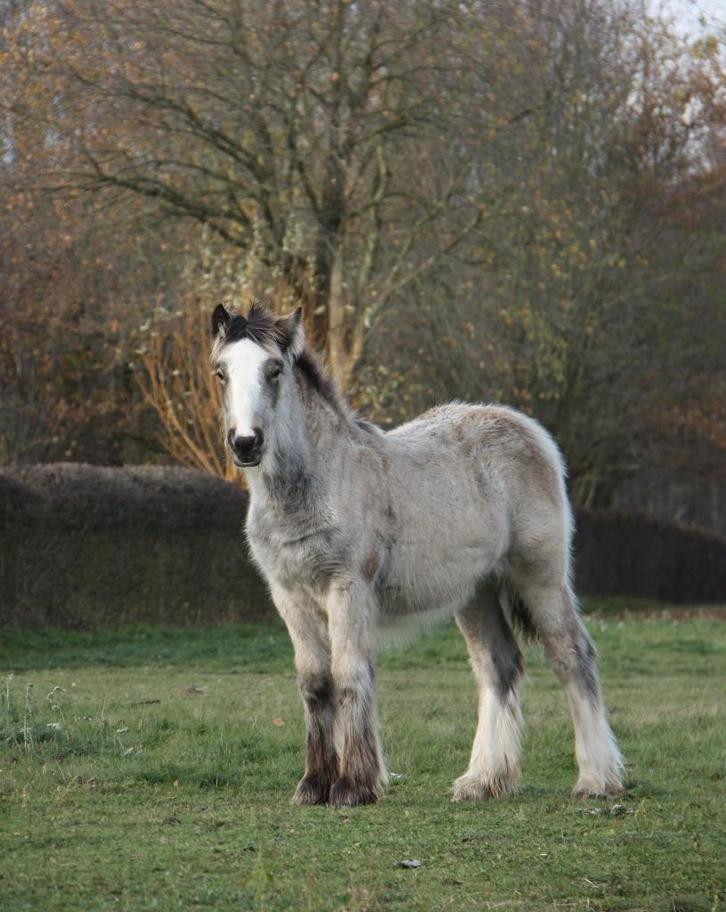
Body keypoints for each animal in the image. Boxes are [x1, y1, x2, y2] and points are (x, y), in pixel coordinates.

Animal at [210, 301, 623, 808]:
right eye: (221, 371)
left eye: (273, 370)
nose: (246, 443)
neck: (317, 483)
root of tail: (529, 430)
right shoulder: (290, 598)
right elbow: (315, 683)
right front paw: (312, 785)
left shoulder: (347, 589)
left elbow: (349, 675)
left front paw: (353, 786)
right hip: (476, 592)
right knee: (498, 667)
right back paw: (484, 780)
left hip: (539, 577)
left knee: (572, 656)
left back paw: (596, 779)